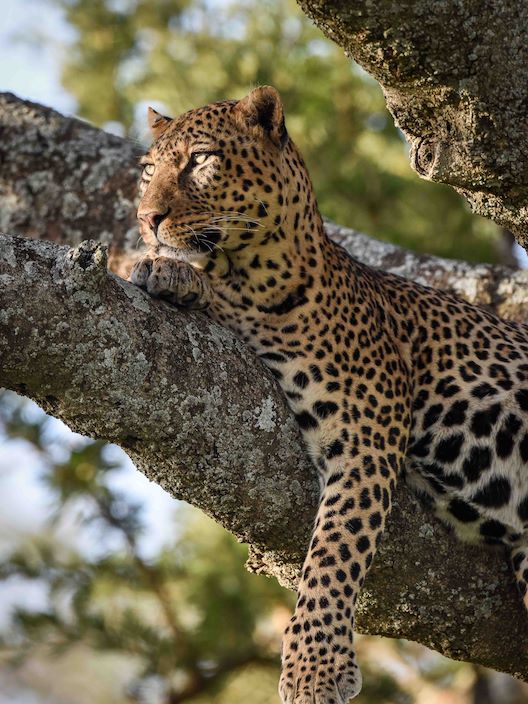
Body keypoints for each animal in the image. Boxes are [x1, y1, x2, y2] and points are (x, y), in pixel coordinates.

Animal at [130, 86, 528, 704]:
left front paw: (313, 671)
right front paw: (166, 273)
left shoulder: (364, 438)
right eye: (148, 171)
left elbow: (335, 550)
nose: (147, 219)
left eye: (199, 160)